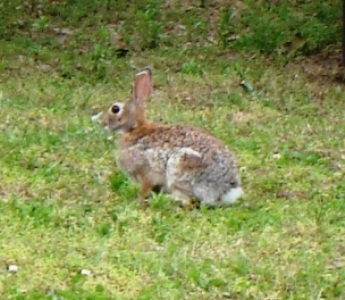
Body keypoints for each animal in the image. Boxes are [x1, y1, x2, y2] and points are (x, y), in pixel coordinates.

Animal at [92, 67, 242, 207]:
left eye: (115, 109)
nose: (101, 122)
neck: (134, 129)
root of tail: (225, 190)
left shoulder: (145, 172)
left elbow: (144, 189)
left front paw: (138, 202)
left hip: (179, 168)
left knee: (188, 201)